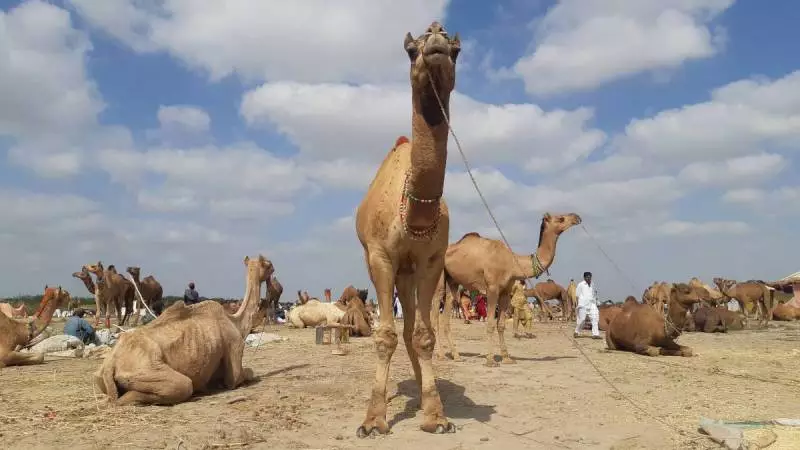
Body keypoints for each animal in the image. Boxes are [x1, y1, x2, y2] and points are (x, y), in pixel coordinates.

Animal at [93, 254, 272, 406]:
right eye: (268, 264)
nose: (274, 269)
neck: (236, 322)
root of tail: (110, 365)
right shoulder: (235, 346)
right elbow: (241, 376)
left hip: (101, 377)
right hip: (146, 371)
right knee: (182, 386)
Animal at [354, 22, 461, 437]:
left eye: (457, 49)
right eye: (411, 49)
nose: (436, 38)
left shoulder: (430, 260)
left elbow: (424, 336)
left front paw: (436, 415)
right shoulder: (381, 257)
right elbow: (383, 335)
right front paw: (373, 420)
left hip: (411, 273)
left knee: (414, 325)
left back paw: (420, 392)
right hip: (389, 267)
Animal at [436, 212, 582, 366]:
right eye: (560, 218)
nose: (576, 217)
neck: (512, 263)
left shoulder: (505, 292)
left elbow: (501, 325)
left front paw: (507, 358)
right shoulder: (492, 288)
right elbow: (490, 324)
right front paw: (490, 360)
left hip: (452, 281)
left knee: (447, 311)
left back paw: (456, 355)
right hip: (439, 276)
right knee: (434, 312)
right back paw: (440, 355)